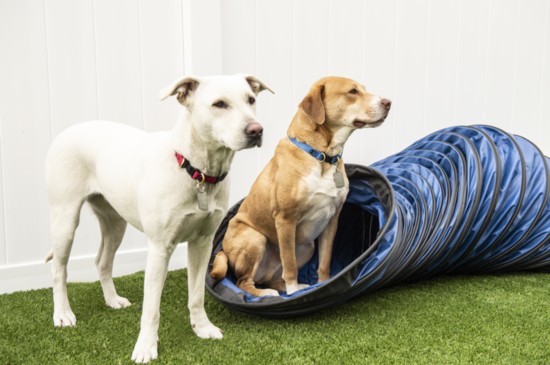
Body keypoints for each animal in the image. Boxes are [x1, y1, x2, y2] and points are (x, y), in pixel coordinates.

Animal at [44, 73, 272, 362]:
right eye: (219, 104)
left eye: (251, 100)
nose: (256, 130)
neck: (195, 170)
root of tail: (67, 131)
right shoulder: (159, 248)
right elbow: (151, 308)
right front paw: (146, 347)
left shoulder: (202, 244)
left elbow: (196, 295)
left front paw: (202, 328)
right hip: (65, 219)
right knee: (58, 269)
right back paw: (63, 314)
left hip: (115, 222)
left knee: (102, 261)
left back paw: (112, 300)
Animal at [211, 77, 392, 296]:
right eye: (352, 91)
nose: (388, 102)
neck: (322, 156)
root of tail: (223, 250)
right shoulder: (285, 220)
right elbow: (289, 265)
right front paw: (293, 292)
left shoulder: (332, 219)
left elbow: (324, 262)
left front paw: (323, 284)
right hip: (255, 237)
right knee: (243, 282)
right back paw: (268, 293)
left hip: (307, 246)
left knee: (272, 278)